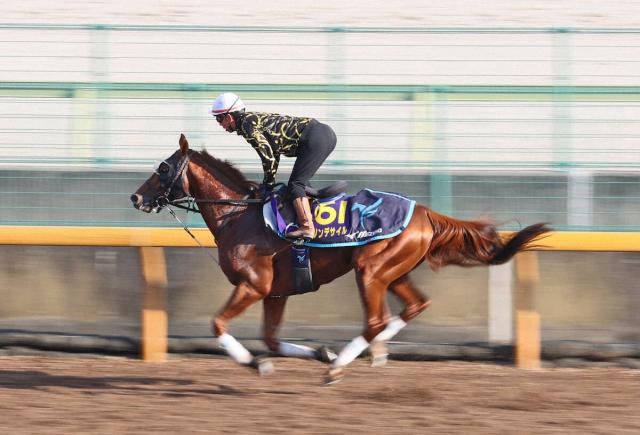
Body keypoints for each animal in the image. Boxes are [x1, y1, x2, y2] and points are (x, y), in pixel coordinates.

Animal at [131, 134, 551, 384]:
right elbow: (271, 339)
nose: (136, 197)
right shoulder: (275, 293)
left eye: (163, 167)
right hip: (393, 272)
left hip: (371, 271)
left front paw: (258, 363)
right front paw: (319, 351)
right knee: (415, 306)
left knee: (376, 320)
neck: (240, 215)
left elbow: (218, 324)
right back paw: (366, 354)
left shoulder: (254, 285)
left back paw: (342, 364)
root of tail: (426, 212)